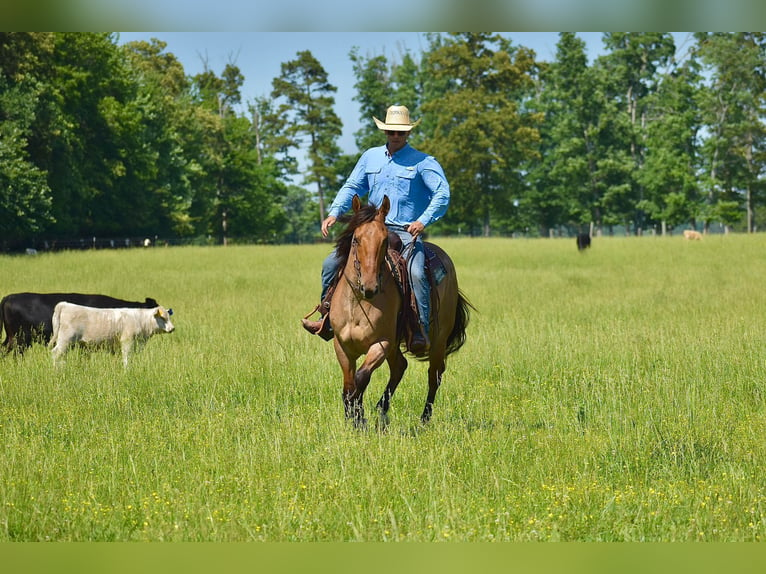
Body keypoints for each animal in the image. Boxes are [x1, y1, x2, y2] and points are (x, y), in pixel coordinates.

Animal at [328, 196, 472, 426]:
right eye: (356, 239)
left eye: (384, 241)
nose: (370, 287)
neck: (358, 303)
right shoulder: (342, 345)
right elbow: (348, 386)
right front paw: (353, 419)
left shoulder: (383, 343)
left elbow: (361, 379)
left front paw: (360, 419)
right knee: (400, 367)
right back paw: (382, 410)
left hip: (438, 340)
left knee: (434, 375)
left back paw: (423, 419)